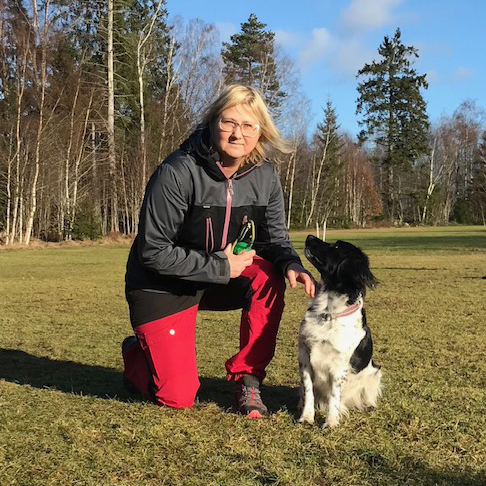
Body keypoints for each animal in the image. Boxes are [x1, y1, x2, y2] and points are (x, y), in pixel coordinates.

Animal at [296, 236, 384, 430]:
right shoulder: (304, 357)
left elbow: (334, 396)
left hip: (375, 372)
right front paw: (306, 417)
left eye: (336, 247)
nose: (309, 237)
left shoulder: (339, 365)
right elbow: (308, 392)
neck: (328, 312)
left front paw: (330, 422)